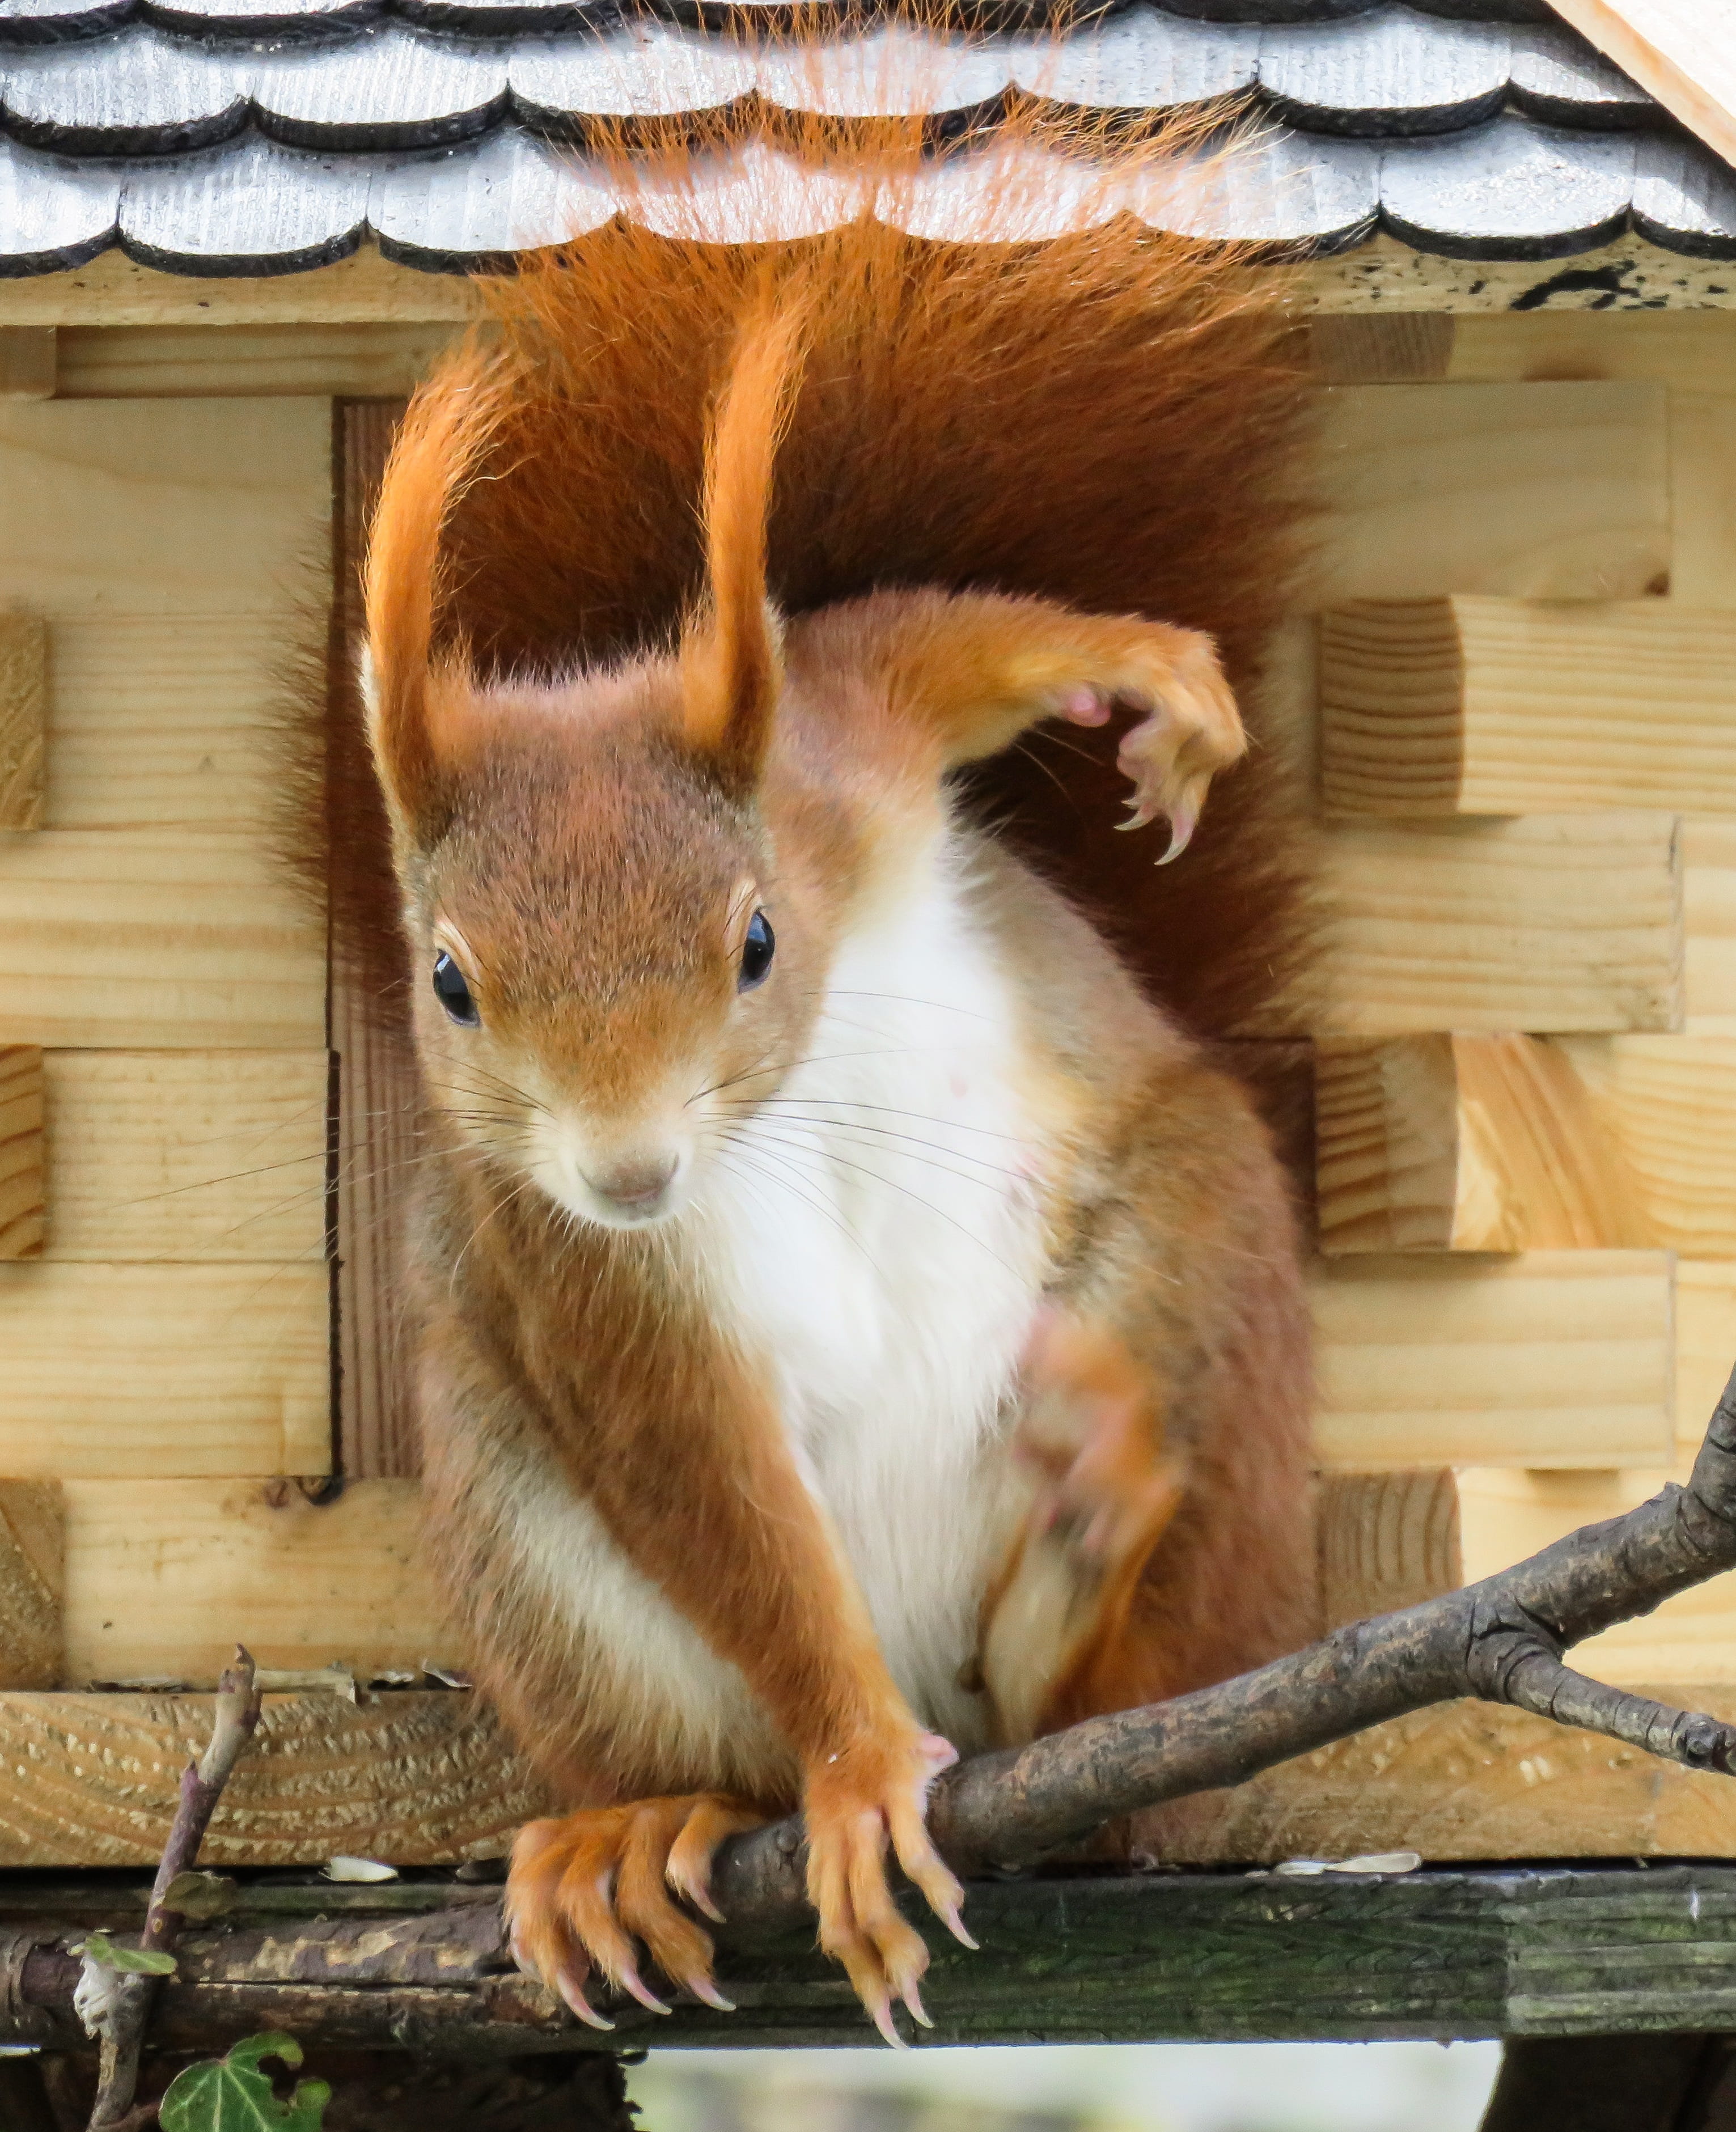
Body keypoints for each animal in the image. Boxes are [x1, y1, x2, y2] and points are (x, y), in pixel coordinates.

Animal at [331, 100, 1320, 2044]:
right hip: (520, 1523)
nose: (630, 1173)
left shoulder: (844, 762)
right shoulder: (580, 1283)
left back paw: (1105, 1512)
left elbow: (920, 641)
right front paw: (858, 1768)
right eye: (450, 984)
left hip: (1204, 1242)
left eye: (758, 940)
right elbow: (721, 1501)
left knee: (1115, 1717)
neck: (770, 1118)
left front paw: (1152, 679)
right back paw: (632, 1830)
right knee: (701, 1744)